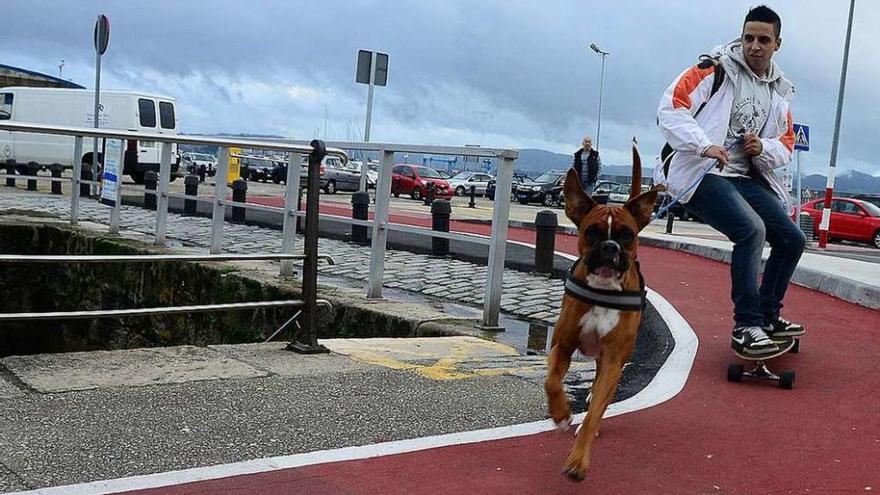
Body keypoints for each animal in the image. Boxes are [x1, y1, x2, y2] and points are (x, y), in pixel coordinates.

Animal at [544, 149, 660, 482]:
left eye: (627, 235)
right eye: (592, 232)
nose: (609, 247)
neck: (604, 288)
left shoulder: (612, 360)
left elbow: (595, 410)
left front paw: (578, 461)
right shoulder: (563, 345)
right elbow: (551, 382)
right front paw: (561, 414)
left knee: (600, 396)